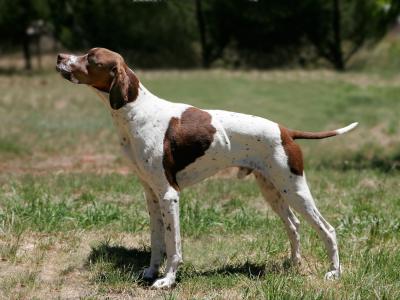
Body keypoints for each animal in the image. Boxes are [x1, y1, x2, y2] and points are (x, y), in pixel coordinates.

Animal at [55, 48, 356, 290]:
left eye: (91, 58)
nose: (59, 57)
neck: (136, 112)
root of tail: (286, 131)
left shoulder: (169, 195)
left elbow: (173, 245)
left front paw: (167, 280)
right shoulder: (151, 195)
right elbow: (157, 242)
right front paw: (151, 272)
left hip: (295, 189)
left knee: (328, 229)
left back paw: (334, 272)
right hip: (273, 190)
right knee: (294, 226)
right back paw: (294, 263)